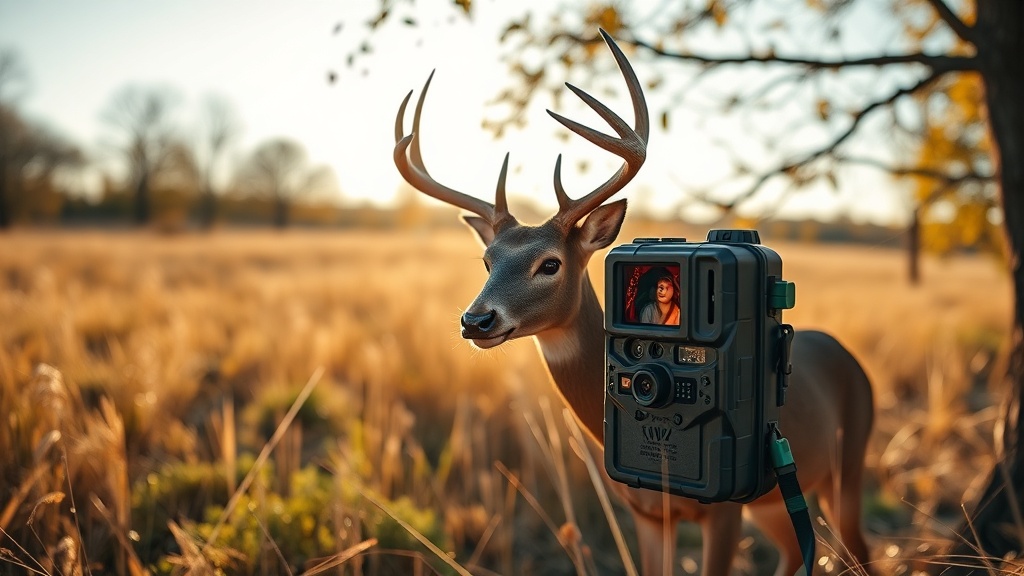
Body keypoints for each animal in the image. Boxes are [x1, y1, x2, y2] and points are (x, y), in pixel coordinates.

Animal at [393, 29, 875, 576]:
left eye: (550, 264)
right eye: (487, 259)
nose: (476, 319)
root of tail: (847, 355)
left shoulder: (724, 508)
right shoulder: (644, 511)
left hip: (848, 461)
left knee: (858, 547)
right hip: (775, 501)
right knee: (796, 548)